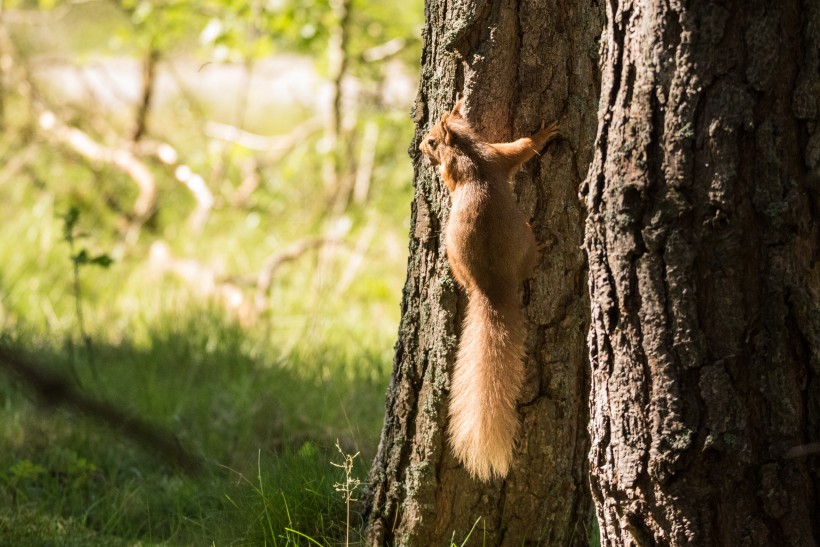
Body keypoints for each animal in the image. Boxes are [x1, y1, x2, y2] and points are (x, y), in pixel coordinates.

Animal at [420, 99, 560, 484]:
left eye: (432, 140)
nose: (420, 149)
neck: (468, 150)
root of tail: (491, 287)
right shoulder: (496, 155)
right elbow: (522, 148)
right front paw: (545, 133)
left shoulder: (488, 156)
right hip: (520, 244)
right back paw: (541, 247)